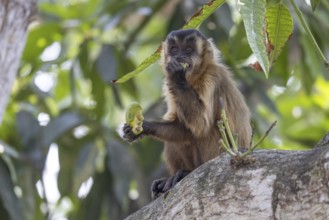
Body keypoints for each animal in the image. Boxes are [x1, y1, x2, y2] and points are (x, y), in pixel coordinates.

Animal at [120, 28, 251, 199]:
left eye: (188, 49)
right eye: (175, 50)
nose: (180, 57)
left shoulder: (212, 76)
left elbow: (201, 125)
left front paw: (177, 76)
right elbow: (184, 128)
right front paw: (142, 128)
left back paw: (183, 174)